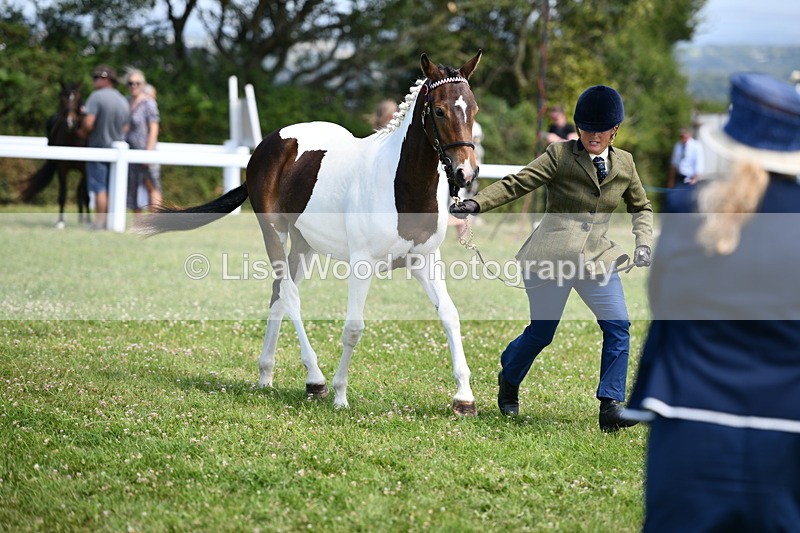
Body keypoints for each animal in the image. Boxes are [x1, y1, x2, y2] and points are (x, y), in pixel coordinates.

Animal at [20, 82, 89, 228]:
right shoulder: (61, 168)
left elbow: (86, 194)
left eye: (78, 97)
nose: (70, 122)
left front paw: (89, 222)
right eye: (62, 98)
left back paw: (84, 219)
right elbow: (62, 193)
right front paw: (60, 222)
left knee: (81, 192)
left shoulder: (85, 169)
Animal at [140, 51, 483, 415]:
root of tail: (268, 145)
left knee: (278, 296)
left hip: (304, 244)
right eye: (439, 110)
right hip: (274, 235)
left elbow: (450, 315)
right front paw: (340, 394)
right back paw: (315, 380)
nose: (466, 173)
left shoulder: (425, 261)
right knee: (289, 296)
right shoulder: (362, 265)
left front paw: (464, 398)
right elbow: (353, 328)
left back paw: (266, 375)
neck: (398, 185)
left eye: (473, 109)